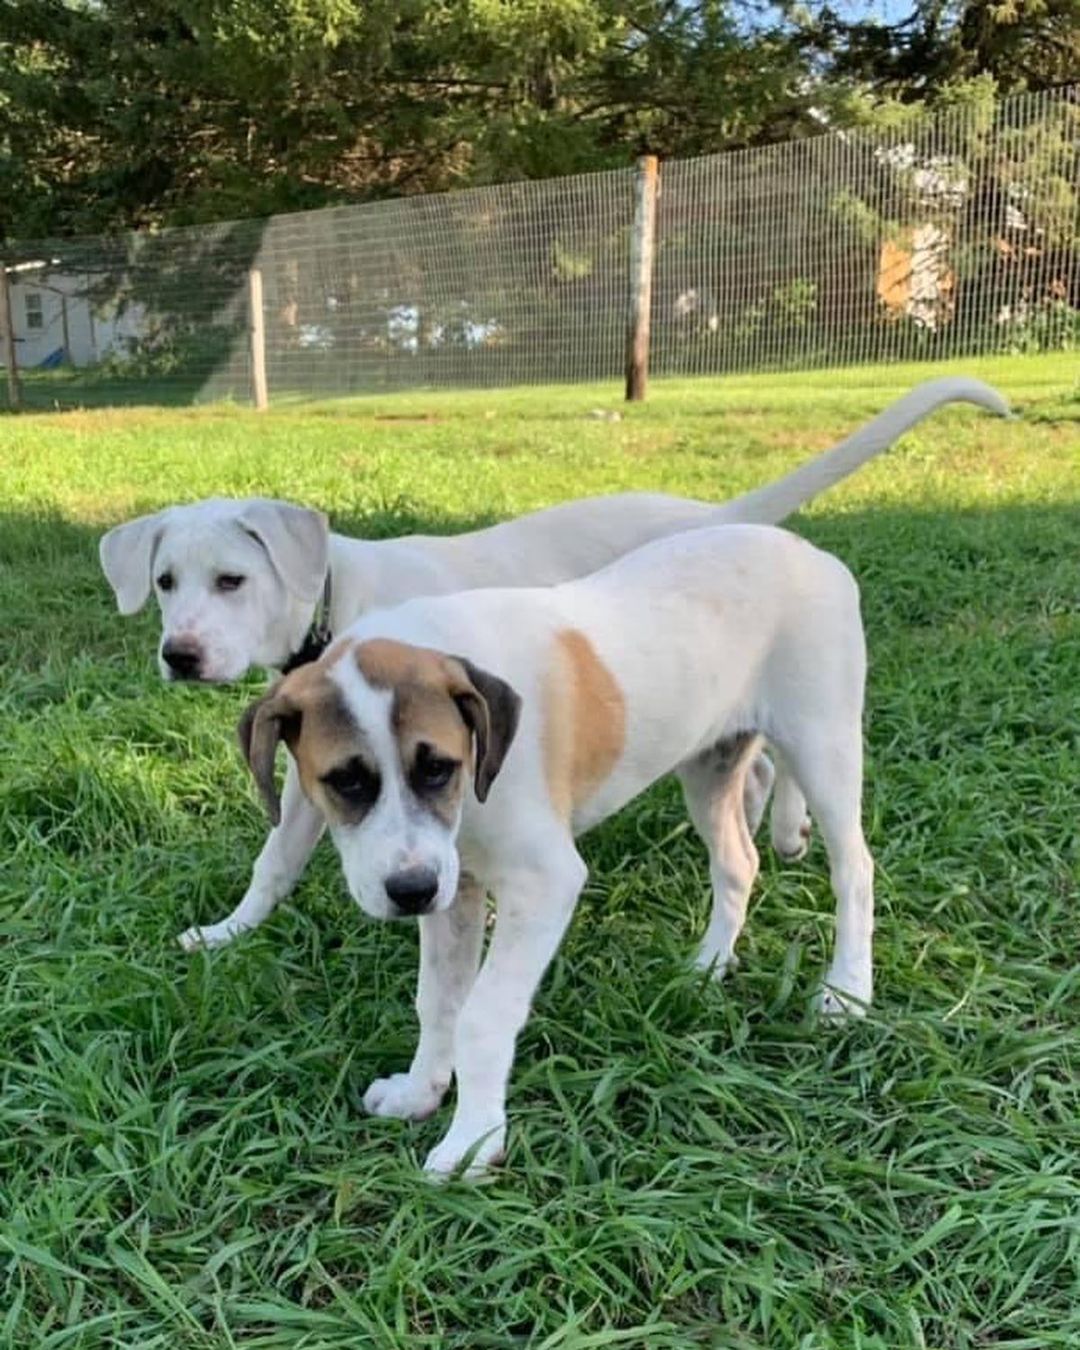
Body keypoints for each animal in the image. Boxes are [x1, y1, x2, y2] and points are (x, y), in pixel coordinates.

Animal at [97, 375, 1009, 955]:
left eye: (232, 580)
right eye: (165, 581)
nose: (180, 656)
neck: (340, 597)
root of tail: (726, 516)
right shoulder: (312, 772)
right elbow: (277, 858)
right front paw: (228, 931)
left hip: (797, 715)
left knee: (809, 809)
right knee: (750, 778)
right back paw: (767, 836)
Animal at [233, 521, 869, 1177]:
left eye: (438, 768)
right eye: (345, 782)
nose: (409, 892)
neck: (478, 771)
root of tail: (802, 548)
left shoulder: (544, 884)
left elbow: (483, 1015)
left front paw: (473, 1141)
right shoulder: (455, 888)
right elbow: (439, 1000)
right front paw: (421, 1091)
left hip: (823, 744)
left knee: (855, 871)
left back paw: (846, 992)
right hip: (710, 764)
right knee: (738, 862)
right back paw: (709, 965)